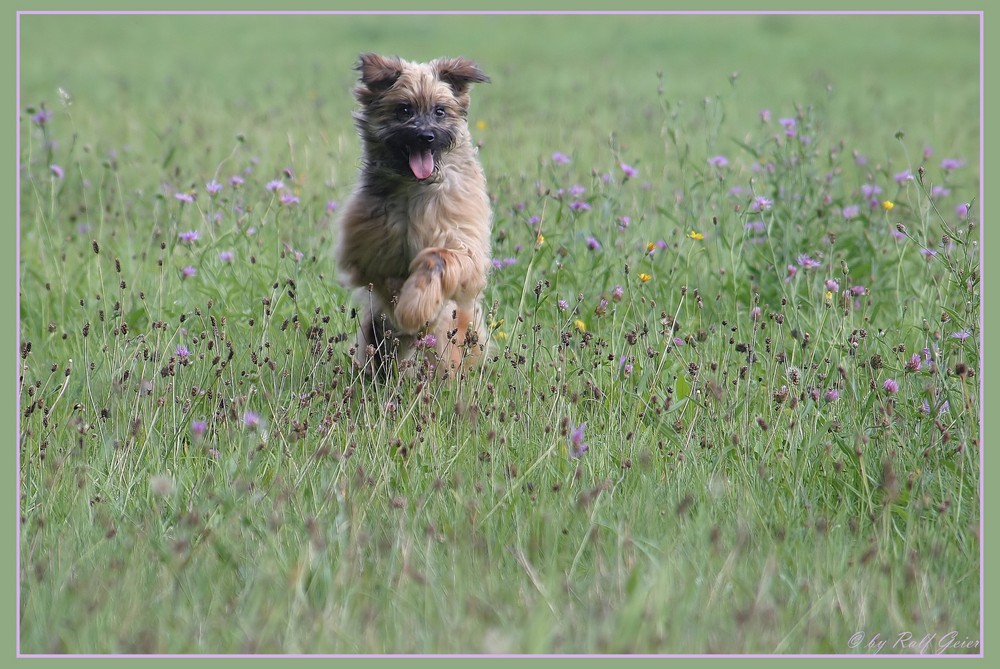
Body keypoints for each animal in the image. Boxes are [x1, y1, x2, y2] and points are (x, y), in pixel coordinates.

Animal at [336, 52, 492, 376]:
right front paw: (403, 305)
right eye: (403, 109)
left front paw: (414, 306)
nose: (425, 136)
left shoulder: (465, 245)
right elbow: (384, 278)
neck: (415, 186)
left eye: (440, 111)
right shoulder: (366, 251)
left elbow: (437, 258)